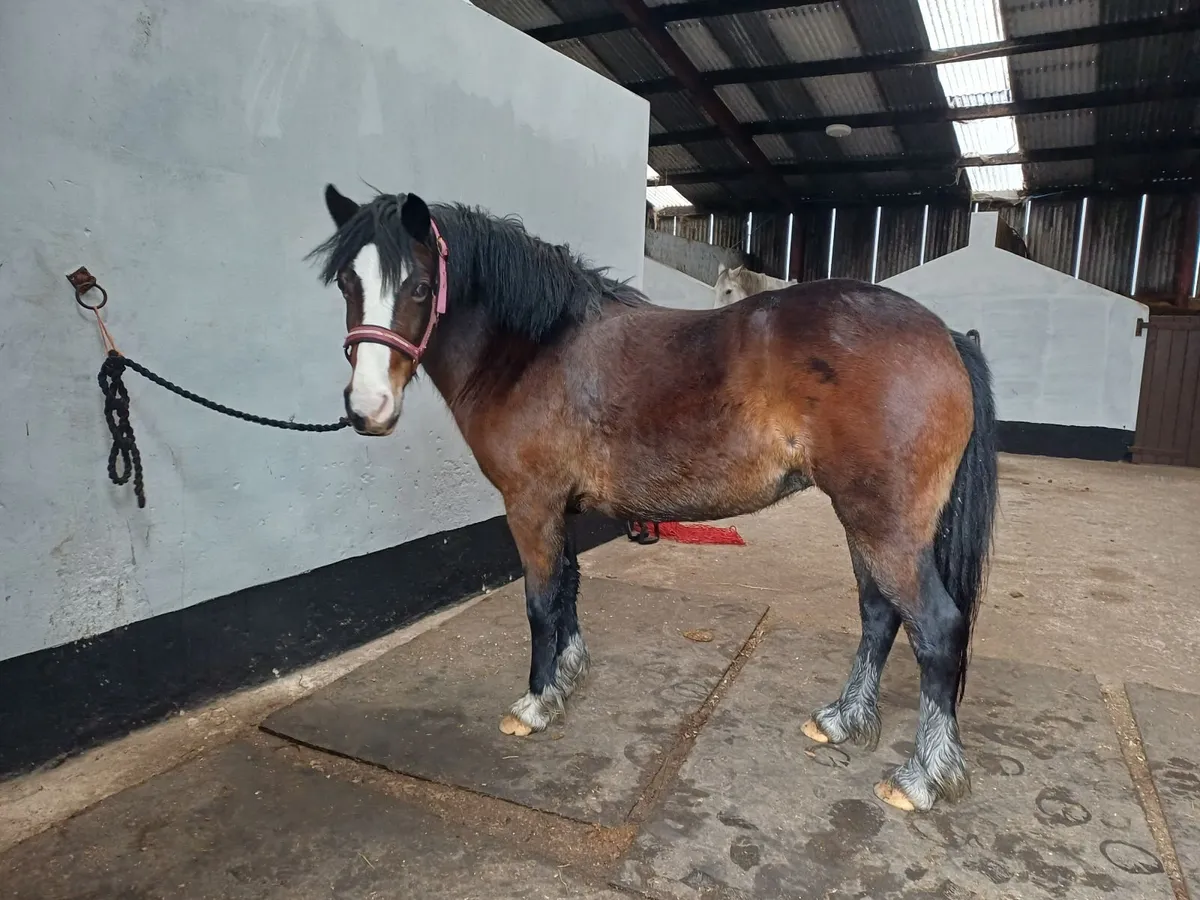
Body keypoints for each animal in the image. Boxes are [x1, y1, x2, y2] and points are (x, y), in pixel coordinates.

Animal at [310, 185, 999, 814]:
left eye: (420, 287)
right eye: (347, 282)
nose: (367, 409)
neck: (536, 348)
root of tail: (945, 336)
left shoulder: (531, 504)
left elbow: (539, 601)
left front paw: (536, 702)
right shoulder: (561, 507)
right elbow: (568, 587)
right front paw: (569, 678)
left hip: (883, 527)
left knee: (936, 628)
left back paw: (922, 778)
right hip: (865, 523)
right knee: (880, 615)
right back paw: (843, 719)